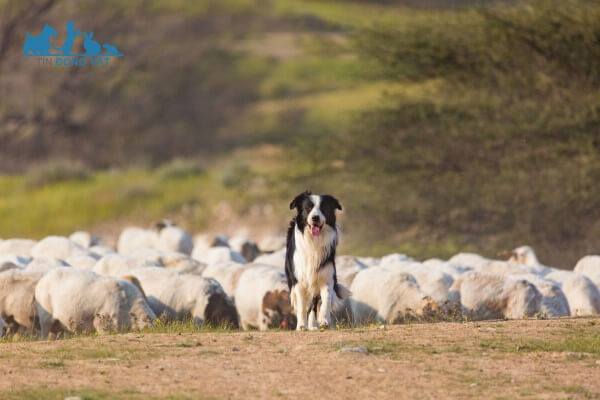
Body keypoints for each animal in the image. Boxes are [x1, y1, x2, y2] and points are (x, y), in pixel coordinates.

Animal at [286, 192, 352, 330]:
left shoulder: (326, 277)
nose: (315, 218)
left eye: (323, 207)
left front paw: (324, 320)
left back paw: (313, 325)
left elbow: (325, 300)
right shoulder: (299, 280)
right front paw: (301, 326)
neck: (314, 241)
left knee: (315, 303)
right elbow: (302, 306)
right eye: (308, 208)